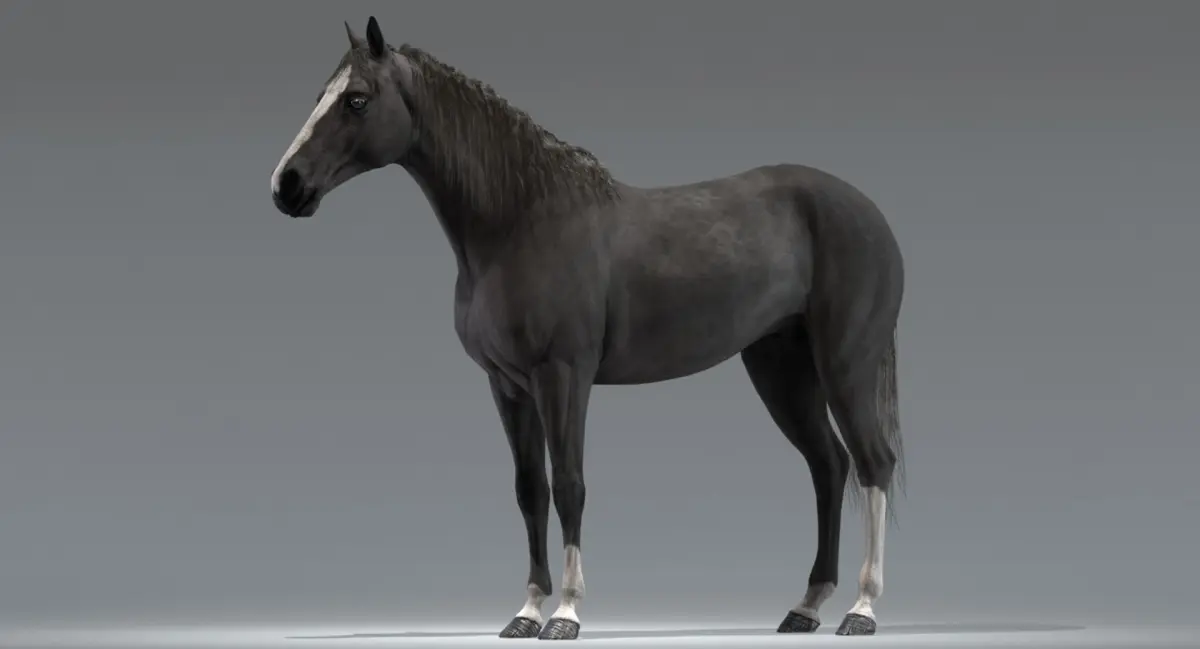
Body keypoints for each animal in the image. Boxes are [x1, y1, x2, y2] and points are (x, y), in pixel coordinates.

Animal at [269, 17, 907, 641]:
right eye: (321, 94)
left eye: (356, 99)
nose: (286, 186)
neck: (520, 223)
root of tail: (869, 213)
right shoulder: (507, 386)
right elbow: (531, 489)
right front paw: (526, 612)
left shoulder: (563, 376)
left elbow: (570, 484)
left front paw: (567, 614)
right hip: (781, 369)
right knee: (829, 466)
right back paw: (807, 606)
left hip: (844, 365)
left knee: (873, 463)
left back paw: (861, 610)